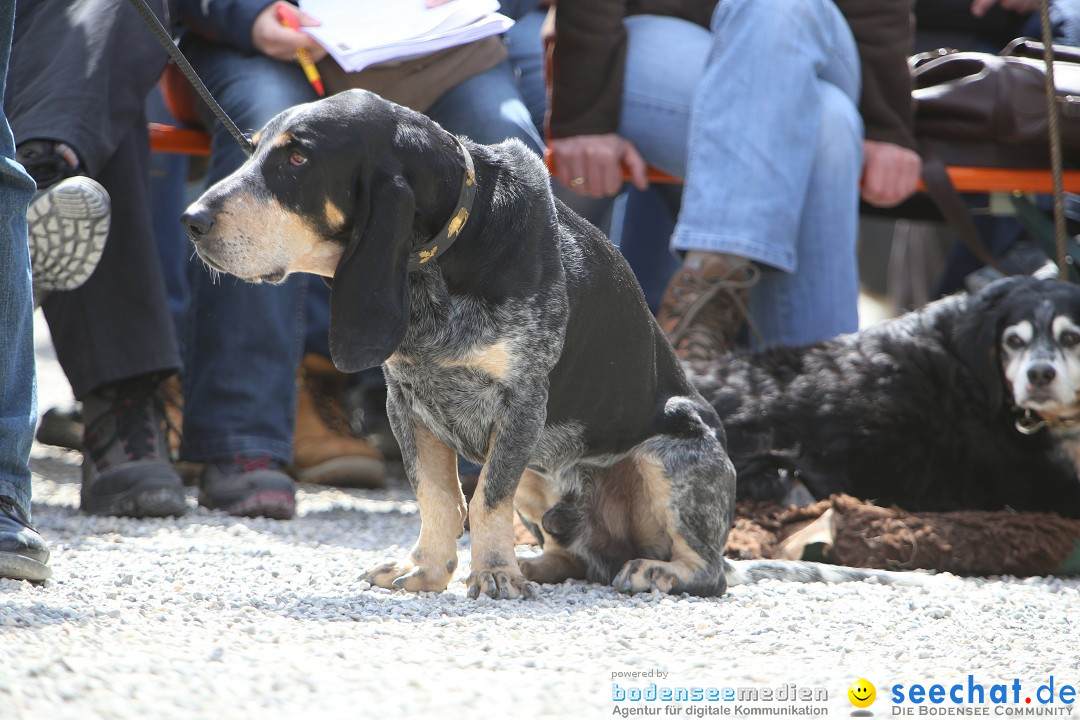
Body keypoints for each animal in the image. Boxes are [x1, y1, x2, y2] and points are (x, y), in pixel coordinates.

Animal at [181, 88, 924, 595]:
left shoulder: (521, 403)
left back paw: (649, 571)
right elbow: (439, 499)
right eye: (253, 147)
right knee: (575, 556)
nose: (191, 219)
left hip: (671, 447)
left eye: (297, 157)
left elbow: (482, 497)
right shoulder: (407, 405)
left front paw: (490, 578)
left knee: (706, 568)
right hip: (545, 475)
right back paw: (537, 563)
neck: (447, 251)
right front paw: (429, 570)